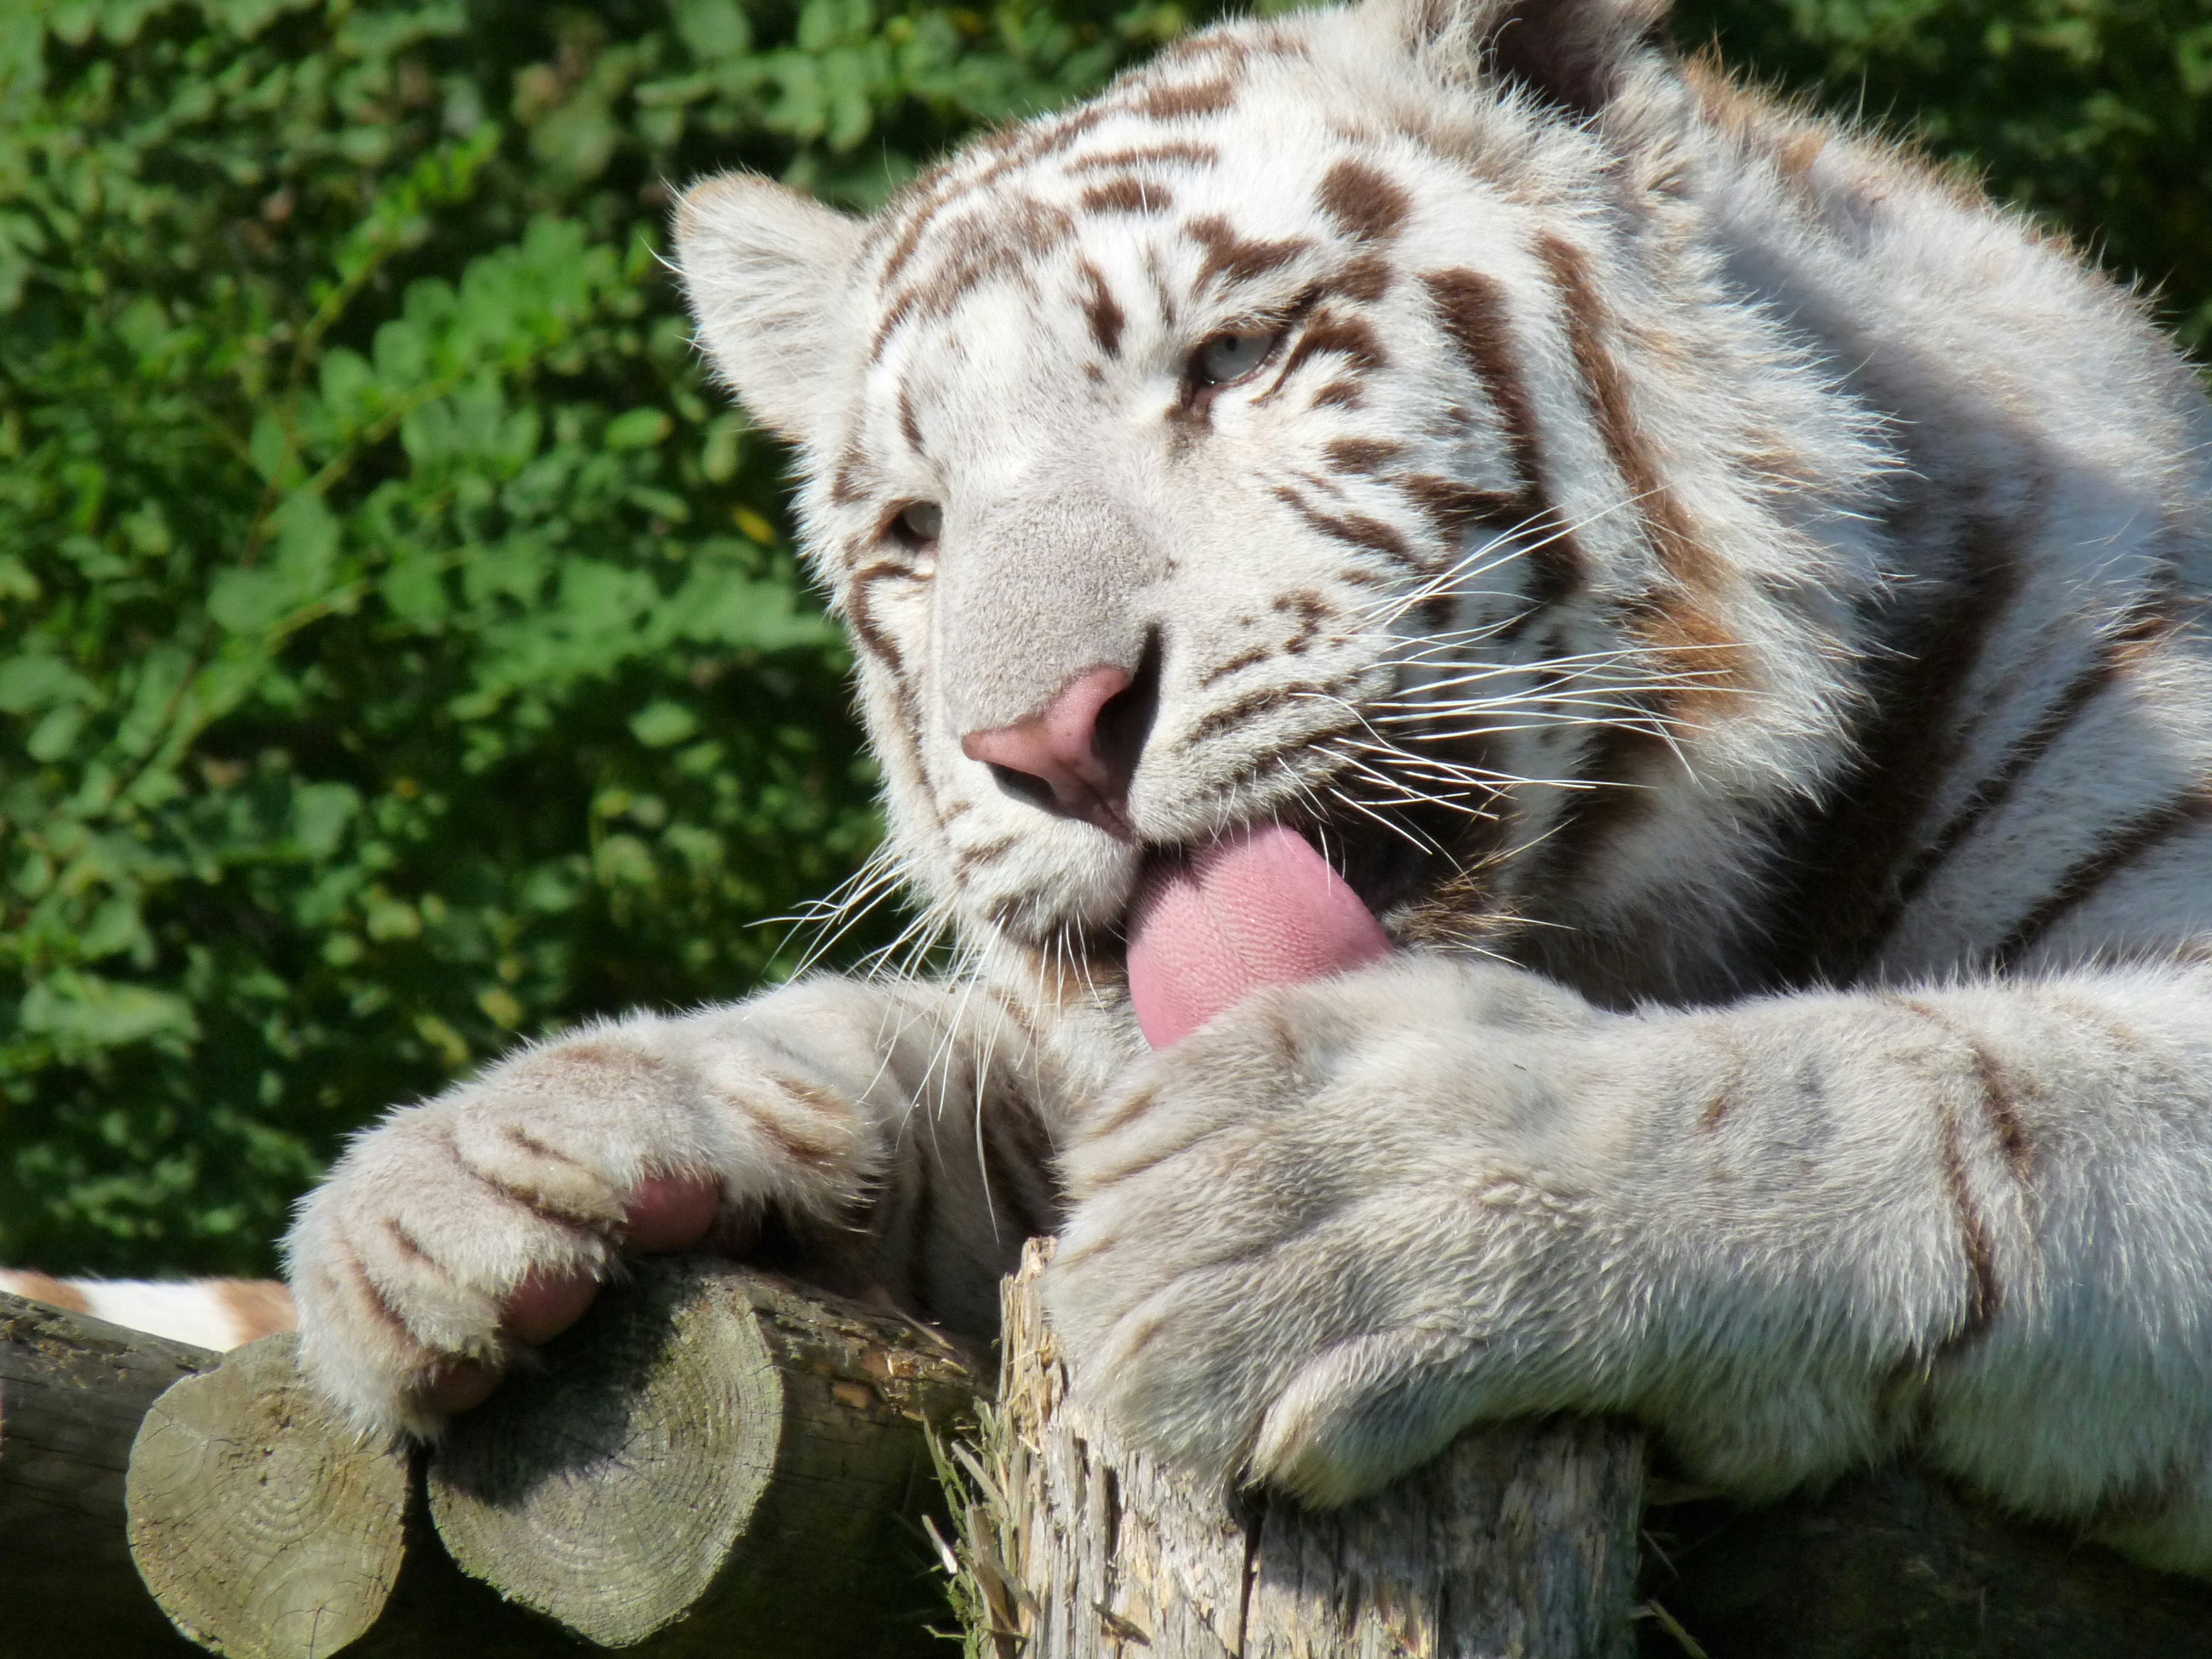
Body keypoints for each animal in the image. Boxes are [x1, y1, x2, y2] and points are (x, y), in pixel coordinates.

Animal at [283, 0, 2212, 1576]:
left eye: (1231, 359)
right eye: (916, 531)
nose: (1046, 735)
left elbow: (1915, 1090)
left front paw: (1341, 1191)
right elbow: (940, 1068)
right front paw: (474, 1168)